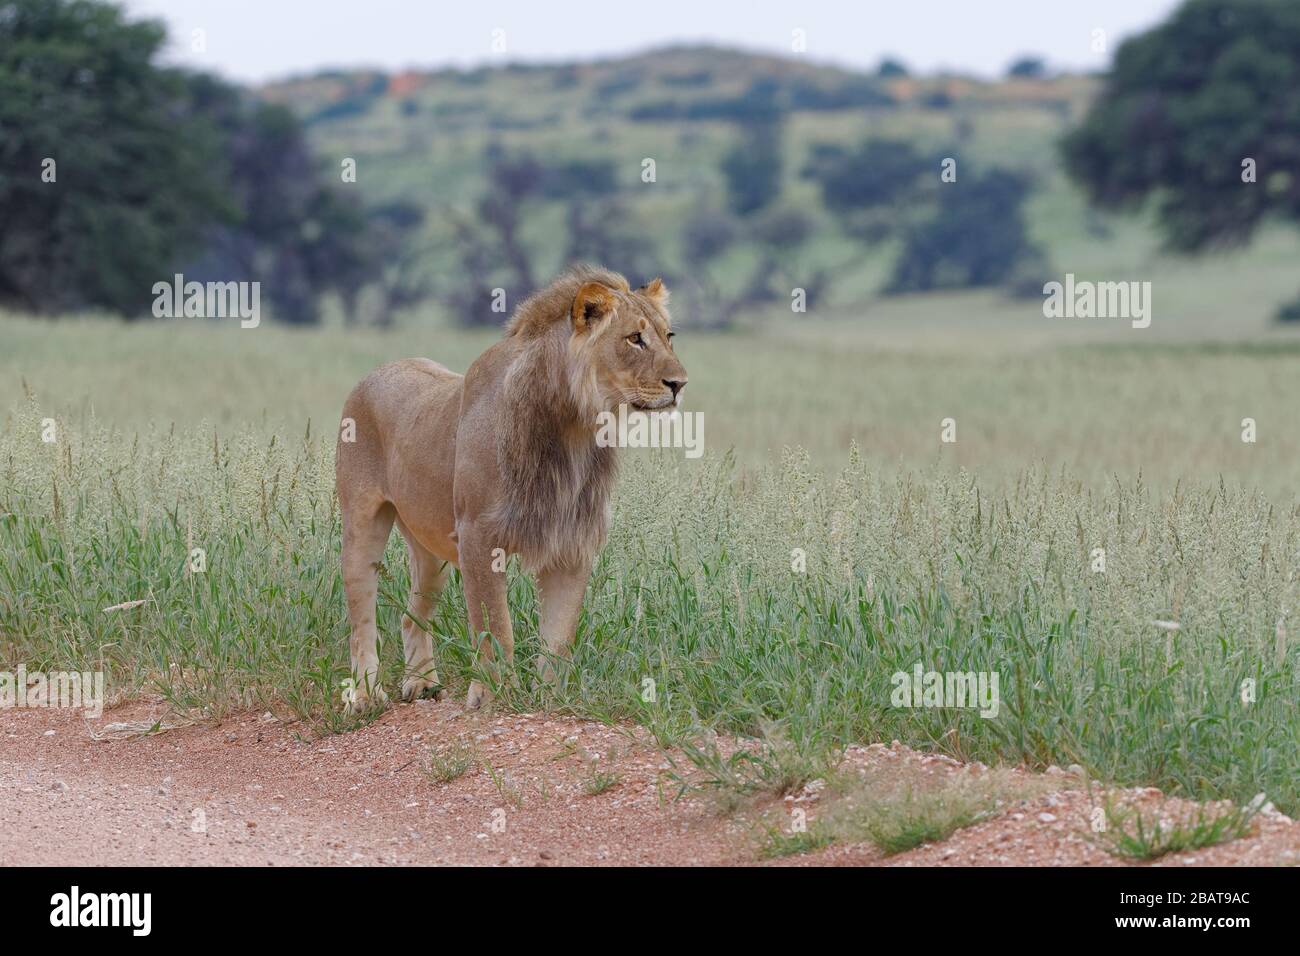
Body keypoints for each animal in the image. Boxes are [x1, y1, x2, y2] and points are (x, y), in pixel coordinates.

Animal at [335, 265, 688, 712]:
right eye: (634, 338)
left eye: (668, 335)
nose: (679, 383)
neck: (573, 430)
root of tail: (375, 372)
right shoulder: (478, 535)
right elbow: (494, 624)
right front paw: (491, 694)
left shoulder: (572, 541)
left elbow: (558, 637)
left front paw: (550, 699)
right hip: (362, 522)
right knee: (360, 615)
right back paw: (365, 695)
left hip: (430, 550)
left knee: (411, 613)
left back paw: (422, 683)